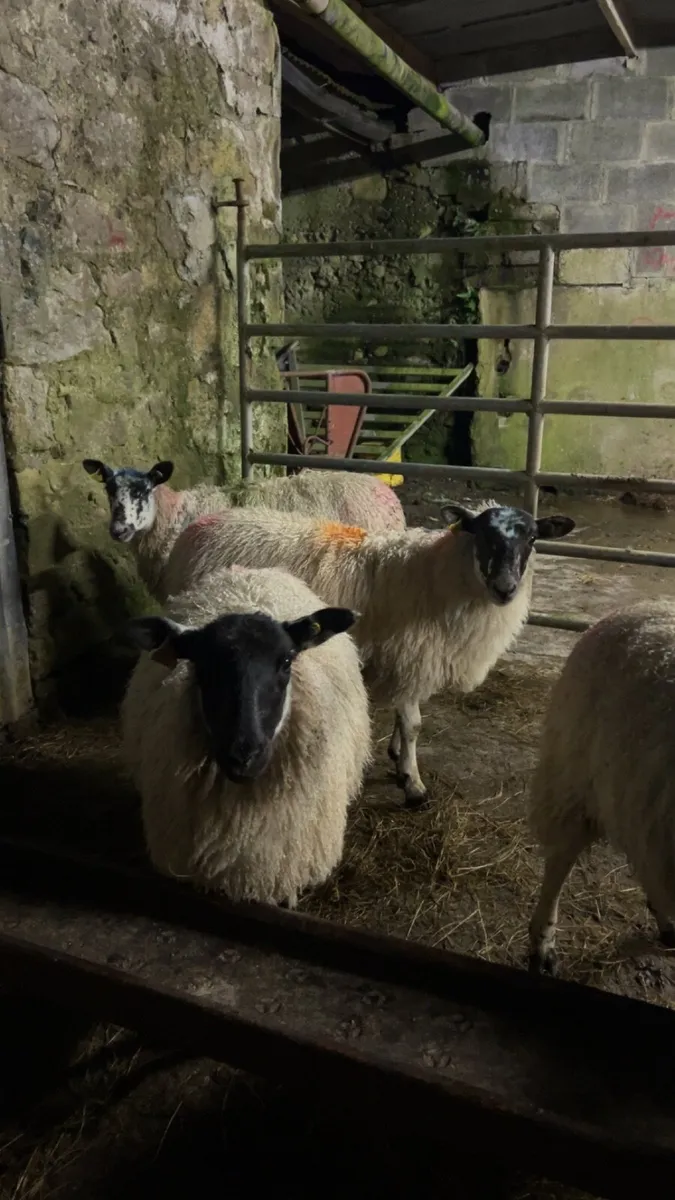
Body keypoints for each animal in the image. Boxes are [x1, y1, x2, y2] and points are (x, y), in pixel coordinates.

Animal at [161, 499, 575, 808]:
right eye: (483, 535)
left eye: (533, 538)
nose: (506, 587)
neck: (439, 579)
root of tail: (201, 525)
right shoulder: (411, 657)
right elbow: (414, 725)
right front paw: (412, 783)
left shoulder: (408, 662)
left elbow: (403, 718)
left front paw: (395, 754)